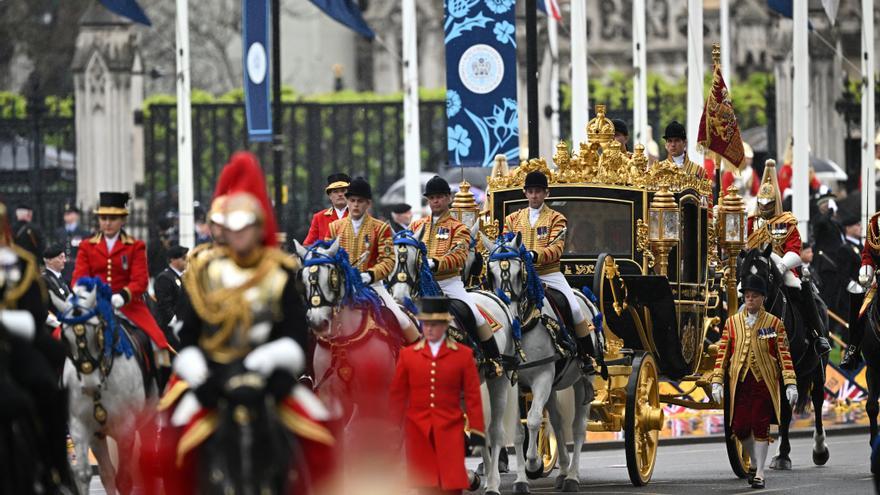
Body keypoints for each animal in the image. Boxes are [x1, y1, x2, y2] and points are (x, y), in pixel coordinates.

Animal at [52, 280, 157, 494]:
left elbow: (124, 480)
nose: (90, 385)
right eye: (65, 338)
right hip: (98, 435)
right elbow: (86, 474)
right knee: (107, 472)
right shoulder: (81, 427)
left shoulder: (126, 428)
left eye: (98, 331)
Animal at [384, 227, 516, 494]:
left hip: (498, 380)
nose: (401, 298)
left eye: (416, 260)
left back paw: (492, 483)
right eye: (391, 259)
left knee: (494, 431)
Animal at [482, 233, 600, 495]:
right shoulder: (517, 383)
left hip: (583, 380)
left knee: (578, 427)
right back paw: (563, 470)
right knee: (557, 421)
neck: (526, 326)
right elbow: (518, 431)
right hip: (554, 386)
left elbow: (535, 419)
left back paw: (572, 477)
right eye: (491, 273)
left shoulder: (542, 377)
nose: (511, 316)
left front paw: (534, 464)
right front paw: (521, 480)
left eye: (519, 272)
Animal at [740, 246, 828, 470]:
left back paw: (820, 450)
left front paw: (783, 455)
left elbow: (786, 411)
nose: (752, 299)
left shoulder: (787, 370)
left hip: (817, 368)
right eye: (743, 275)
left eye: (767, 274)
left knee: (818, 401)